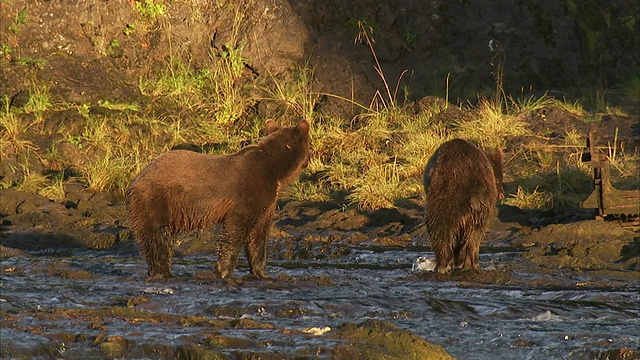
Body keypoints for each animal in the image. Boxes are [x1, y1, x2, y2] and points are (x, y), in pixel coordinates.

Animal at [124, 119, 310, 280]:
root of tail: (134, 180)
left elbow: (259, 234)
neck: (275, 171)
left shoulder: (266, 202)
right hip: (156, 199)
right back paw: (163, 271)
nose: (308, 161)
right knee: (157, 236)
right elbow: (235, 229)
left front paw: (261, 272)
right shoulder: (247, 192)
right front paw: (223, 271)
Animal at [420, 139, 504, 274]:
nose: (501, 195)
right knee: (473, 234)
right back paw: (469, 264)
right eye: (499, 180)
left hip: (448, 198)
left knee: (441, 229)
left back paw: (445, 265)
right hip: (474, 205)